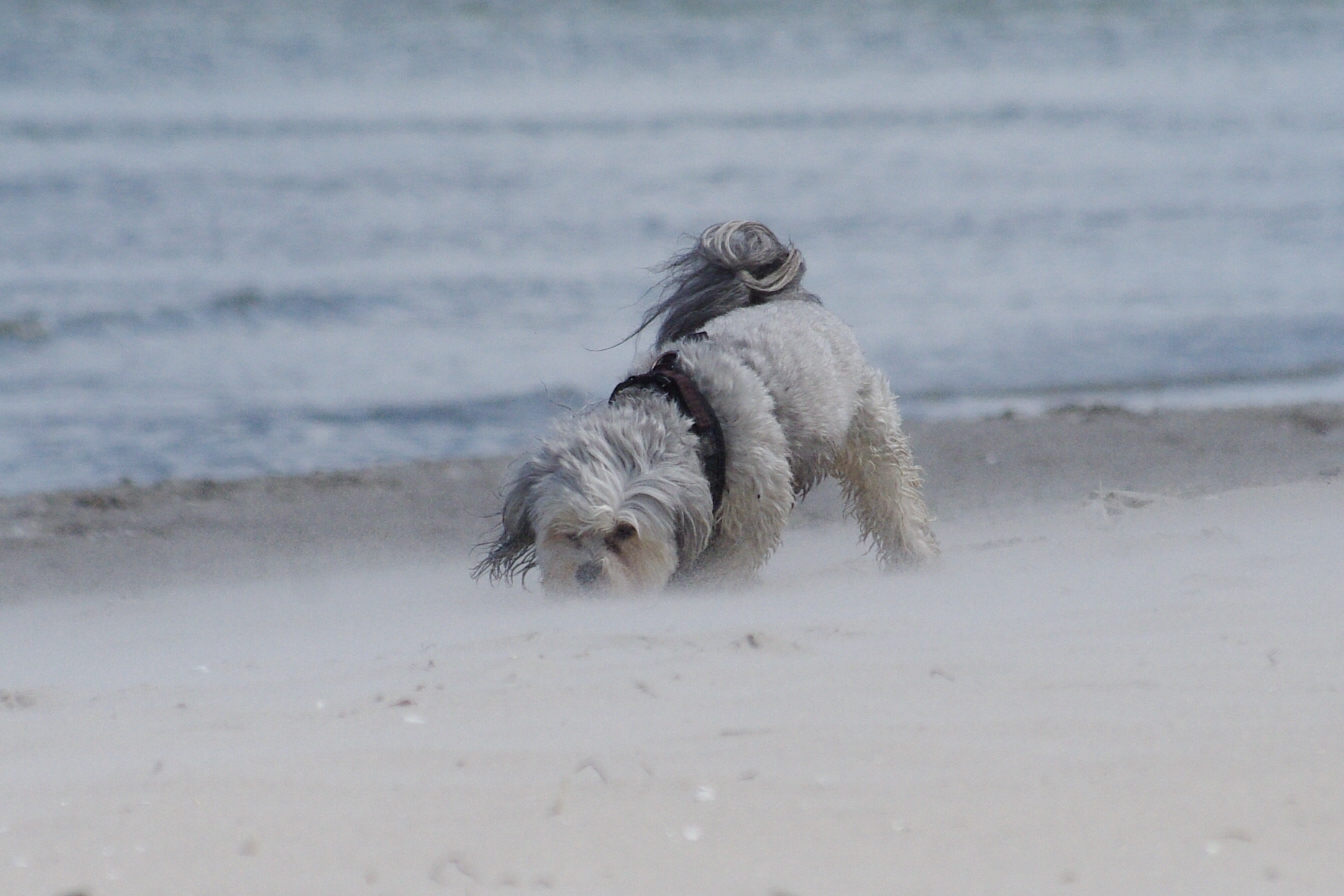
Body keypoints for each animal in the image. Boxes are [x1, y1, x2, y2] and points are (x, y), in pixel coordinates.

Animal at [478, 220, 940, 591]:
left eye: (625, 532)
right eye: (567, 533)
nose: (587, 575)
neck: (681, 412)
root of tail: (782, 300)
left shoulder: (750, 509)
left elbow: (727, 559)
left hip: (871, 433)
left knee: (892, 498)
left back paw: (913, 557)